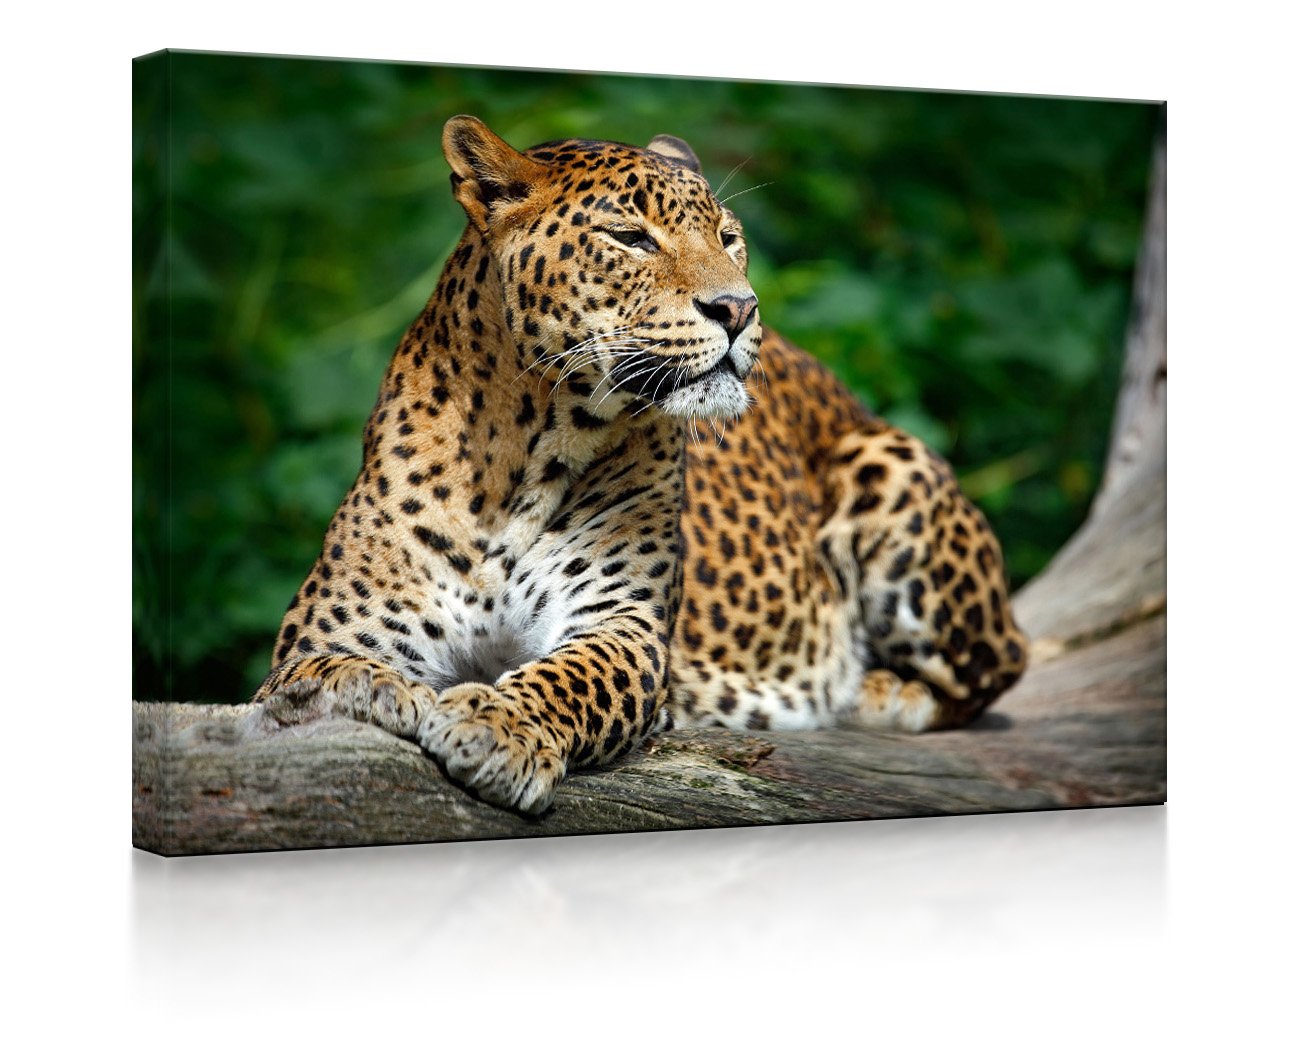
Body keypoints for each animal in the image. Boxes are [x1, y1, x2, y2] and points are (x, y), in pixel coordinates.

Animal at [253, 115, 1028, 815]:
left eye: (728, 237)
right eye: (630, 238)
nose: (739, 308)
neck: (523, 452)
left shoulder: (623, 623)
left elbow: (570, 677)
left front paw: (497, 727)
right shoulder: (333, 628)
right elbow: (314, 671)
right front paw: (370, 690)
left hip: (893, 465)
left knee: (999, 666)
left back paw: (873, 689)